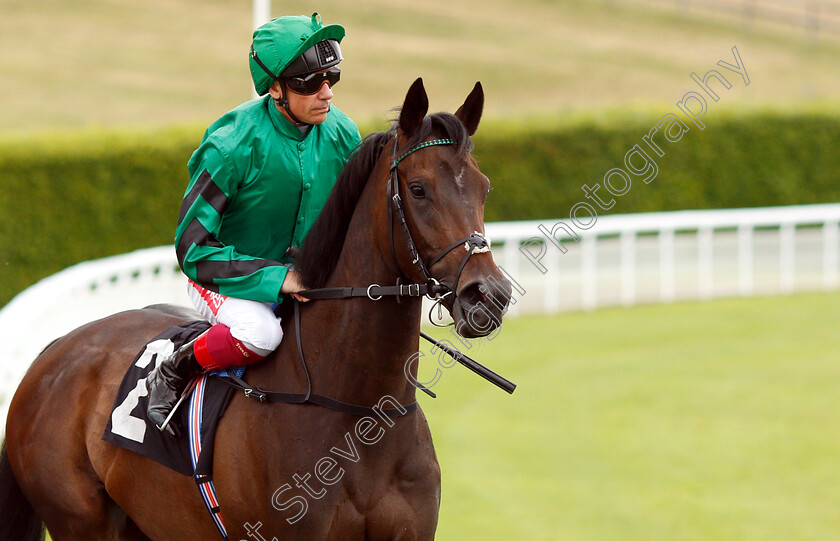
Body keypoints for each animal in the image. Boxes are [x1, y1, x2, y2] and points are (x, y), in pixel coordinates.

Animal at [0, 79, 512, 540]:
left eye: (484, 188)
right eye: (420, 189)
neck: (360, 413)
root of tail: (55, 350)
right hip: (80, 519)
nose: (488, 295)